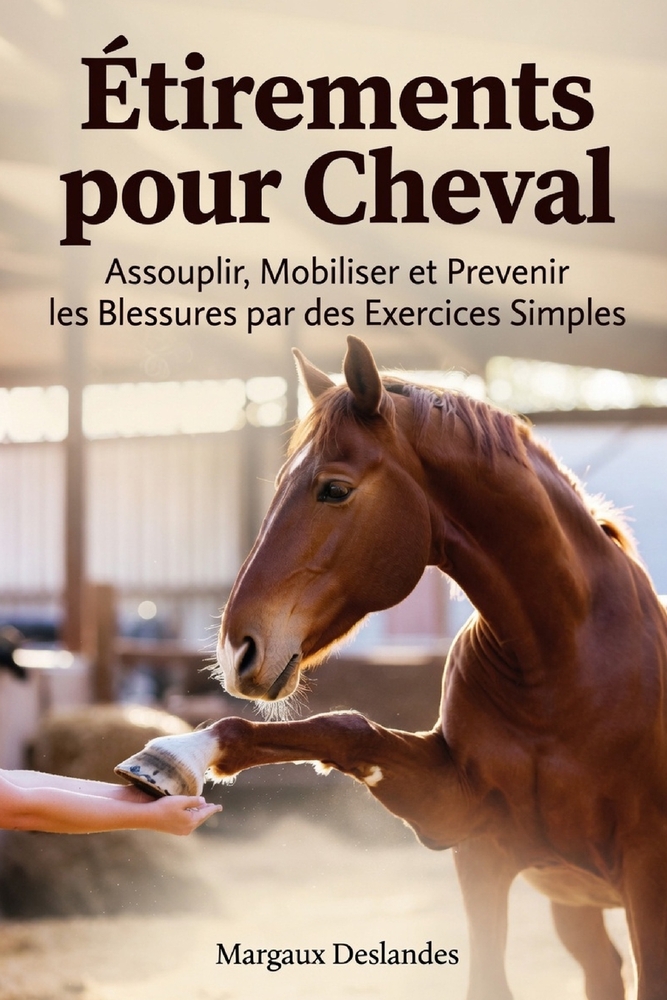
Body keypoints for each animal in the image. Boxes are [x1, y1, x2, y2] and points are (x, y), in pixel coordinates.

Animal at [117, 335, 667, 1000]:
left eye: (333, 489)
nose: (236, 649)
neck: (562, 664)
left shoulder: (647, 872)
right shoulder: (469, 833)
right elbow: (344, 729)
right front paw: (175, 757)